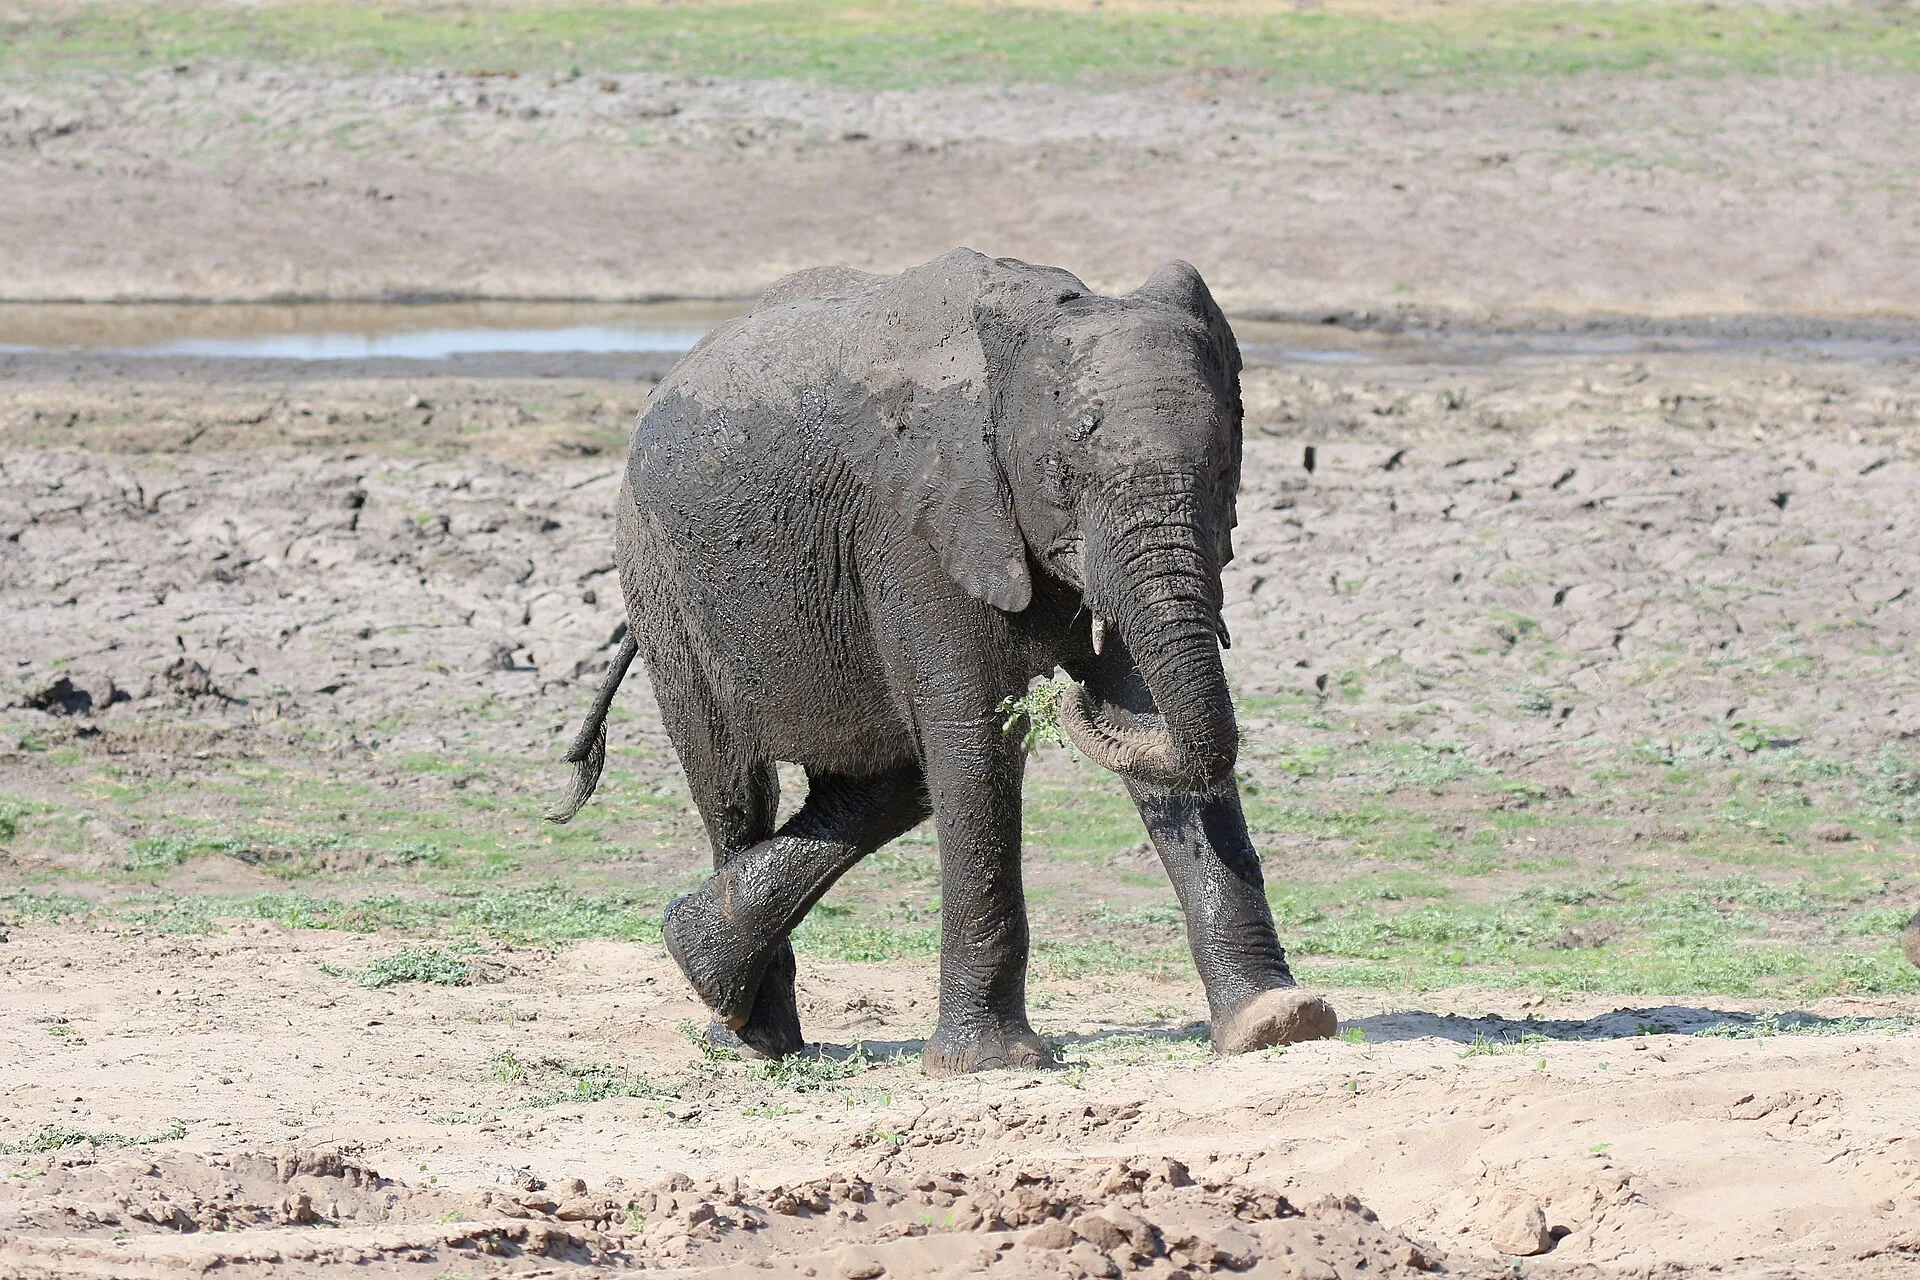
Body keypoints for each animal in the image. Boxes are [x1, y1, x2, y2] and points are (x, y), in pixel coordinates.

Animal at [549, 248, 1337, 1075]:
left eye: (1221, 472)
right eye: (1060, 474)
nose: (1070, 694)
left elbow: (1147, 713)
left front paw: (1278, 1024)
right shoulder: (917, 521)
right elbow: (975, 738)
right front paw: (994, 1062)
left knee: (888, 783)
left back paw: (708, 962)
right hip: (662, 582)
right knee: (734, 789)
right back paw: (746, 1035)